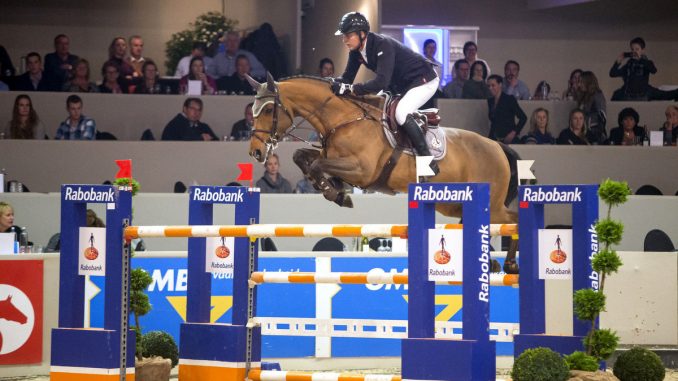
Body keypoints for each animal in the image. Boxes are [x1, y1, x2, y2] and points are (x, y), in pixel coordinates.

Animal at [248, 74, 520, 270]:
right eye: (252, 110)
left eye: (269, 110)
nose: (256, 152)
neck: (344, 119)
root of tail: (497, 145)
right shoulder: (331, 157)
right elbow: (301, 157)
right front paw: (335, 189)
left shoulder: (362, 169)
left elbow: (316, 166)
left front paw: (336, 193)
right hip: (453, 205)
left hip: (490, 205)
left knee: (513, 220)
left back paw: (510, 264)